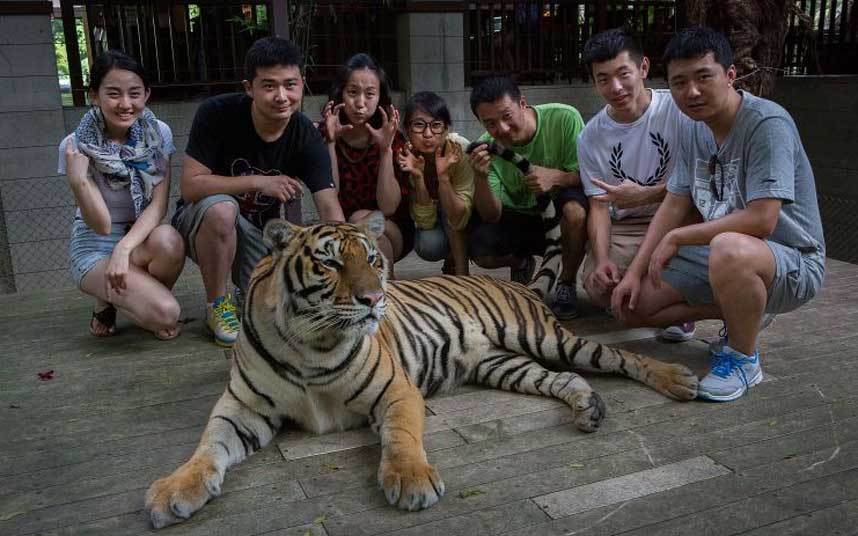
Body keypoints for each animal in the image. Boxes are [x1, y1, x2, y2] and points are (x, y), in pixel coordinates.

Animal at [145, 208, 696, 528]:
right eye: (329, 263)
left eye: (373, 259)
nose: (374, 300)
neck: (311, 344)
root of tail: (516, 283)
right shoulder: (242, 408)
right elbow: (207, 448)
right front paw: (174, 490)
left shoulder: (396, 391)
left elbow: (402, 436)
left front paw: (411, 482)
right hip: (503, 364)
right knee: (564, 378)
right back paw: (588, 409)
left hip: (543, 337)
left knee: (616, 356)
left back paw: (678, 380)